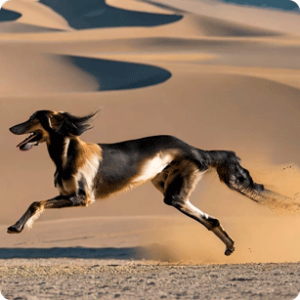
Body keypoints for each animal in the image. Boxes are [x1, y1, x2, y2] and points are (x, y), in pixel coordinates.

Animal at [7, 110, 288, 255]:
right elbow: (36, 203)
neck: (68, 152)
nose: (11, 128)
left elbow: (36, 203)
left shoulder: (81, 198)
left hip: (174, 191)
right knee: (211, 220)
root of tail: (194, 148)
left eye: (33, 118)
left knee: (207, 217)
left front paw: (17, 227)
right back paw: (229, 245)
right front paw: (15, 227)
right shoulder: (70, 196)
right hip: (168, 187)